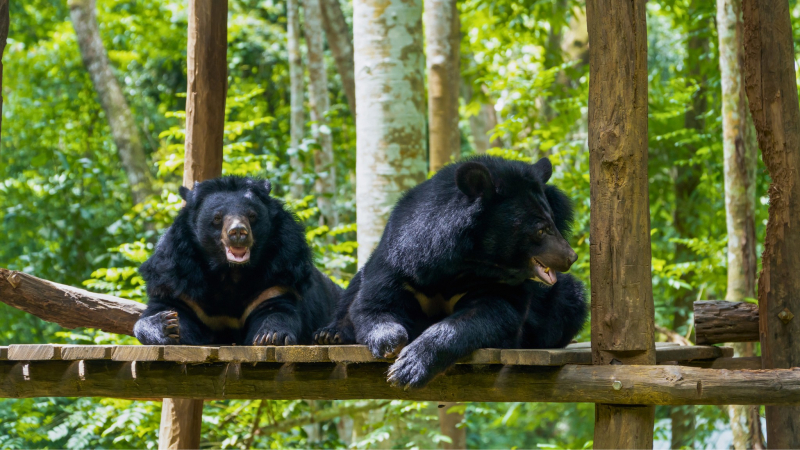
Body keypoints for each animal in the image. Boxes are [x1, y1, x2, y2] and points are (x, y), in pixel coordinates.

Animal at [133, 176, 341, 346]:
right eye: (217, 218)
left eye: (252, 215)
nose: (238, 232)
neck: (230, 271)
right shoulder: (178, 275)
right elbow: (166, 309)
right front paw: (167, 325)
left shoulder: (282, 270)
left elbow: (277, 309)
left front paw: (270, 335)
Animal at [314, 156, 587, 388]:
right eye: (540, 230)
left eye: (553, 222)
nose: (570, 257)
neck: (467, 262)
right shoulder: (400, 257)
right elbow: (374, 303)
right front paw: (390, 342)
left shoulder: (495, 284)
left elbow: (491, 313)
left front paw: (409, 368)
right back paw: (330, 334)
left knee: (569, 300)